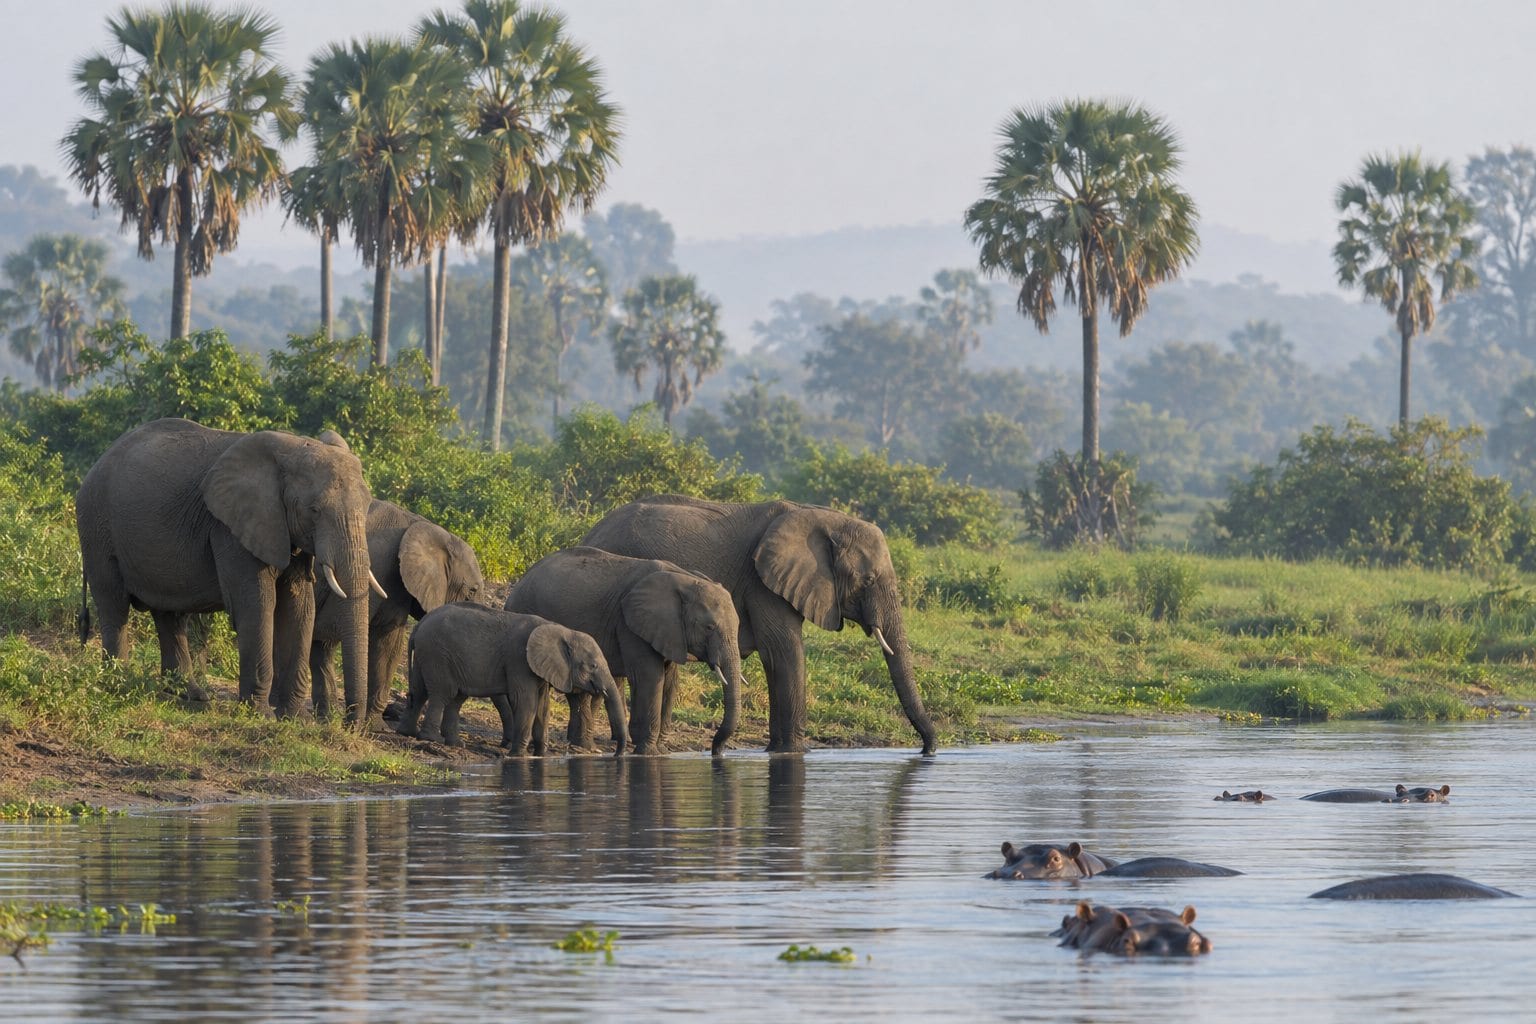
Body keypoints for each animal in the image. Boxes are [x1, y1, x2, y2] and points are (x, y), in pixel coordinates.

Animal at [76, 418, 382, 724]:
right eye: (315, 510)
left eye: (368, 506)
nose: (351, 724)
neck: (292, 449)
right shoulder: (229, 528)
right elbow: (257, 605)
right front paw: (261, 716)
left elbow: (299, 608)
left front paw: (296, 720)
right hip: (96, 526)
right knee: (114, 604)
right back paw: (120, 684)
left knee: (168, 614)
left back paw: (190, 694)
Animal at [397, 602, 629, 757]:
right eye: (593, 666)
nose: (616, 755)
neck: (561, 630)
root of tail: (418, 626)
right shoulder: (519, 660)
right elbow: (526, 701)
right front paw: (517, 755)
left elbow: (543, 706)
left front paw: (540, 755)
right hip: (437, 654)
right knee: (443, 694)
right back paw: (431, 739)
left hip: (431, 654)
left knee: (427, 694)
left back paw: (425, 737)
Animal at [503, 546, 741, 756]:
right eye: (709, 627)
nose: (716, 752)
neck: (685, 578)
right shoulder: (630, 625)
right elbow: (650, 677)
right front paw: (649, 752)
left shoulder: (669, 631)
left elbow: (670, 680)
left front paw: (661, 751)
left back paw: (584, 747)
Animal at [581, 496, 936, 754]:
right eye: (868, 580)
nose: (928, 750)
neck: (820, 517)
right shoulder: (762, 583)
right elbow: (783, 649)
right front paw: (794, 752)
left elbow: (774, 657)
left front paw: (777, 749)